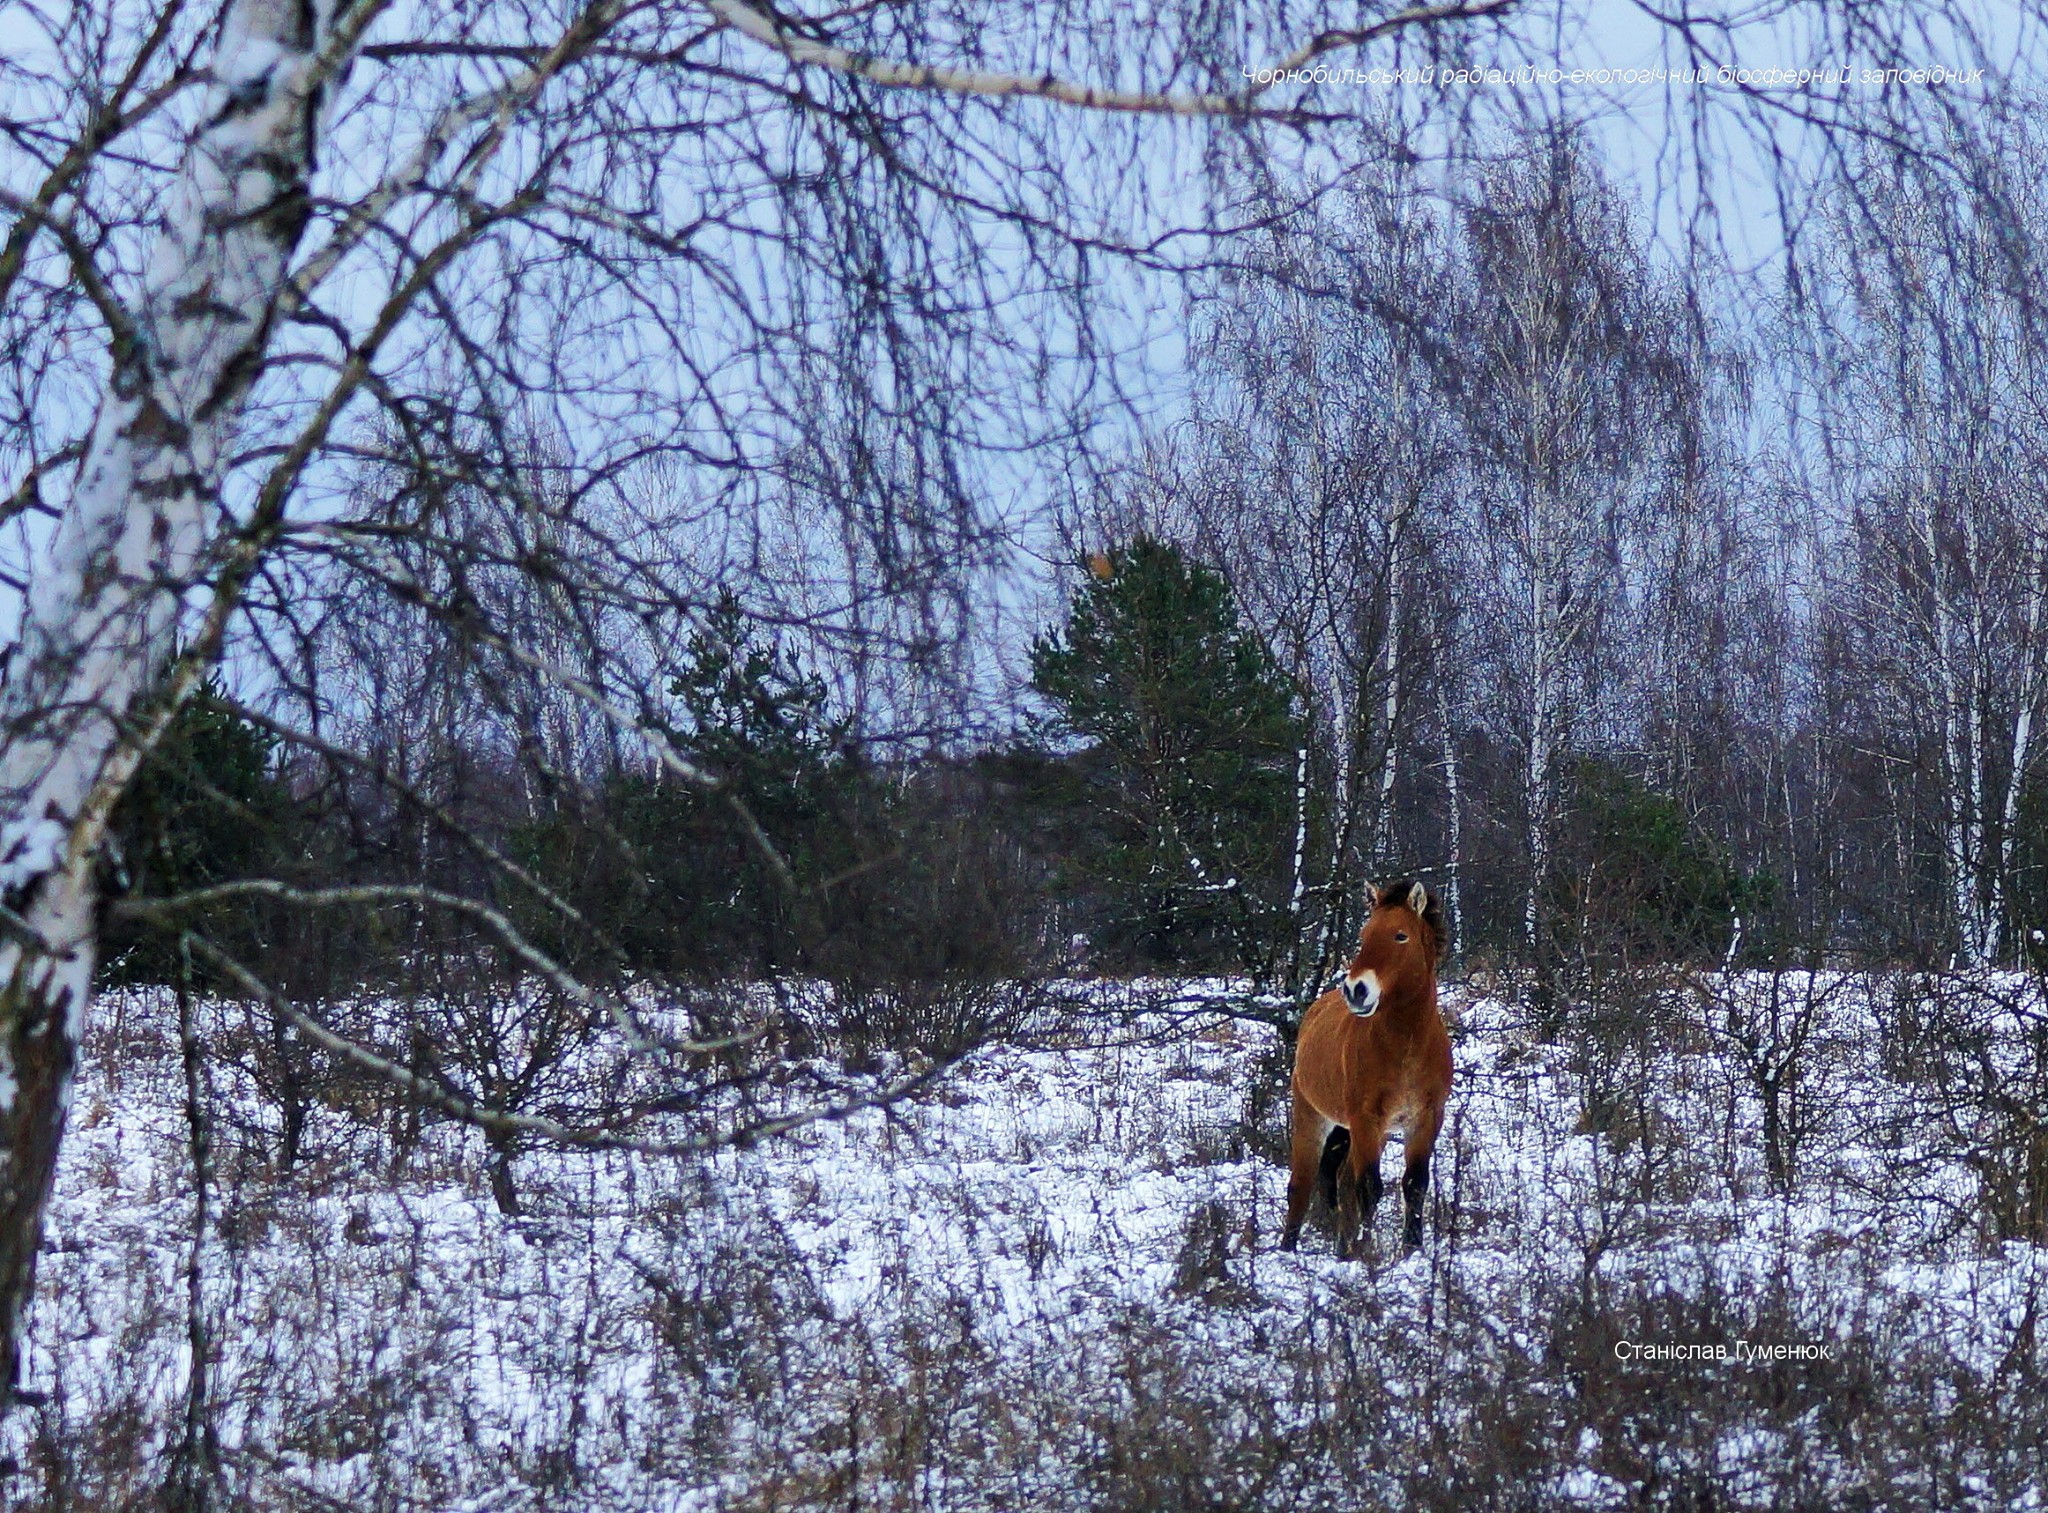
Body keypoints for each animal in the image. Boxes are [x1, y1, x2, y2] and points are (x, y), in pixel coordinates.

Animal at [1286, 880, 1449, 1261]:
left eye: (1400, 936)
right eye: (1364, 934)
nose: (1355, 989)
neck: (1408, 1047)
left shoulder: (1426, 1119)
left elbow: (1415, 1184)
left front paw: (1411, 1251)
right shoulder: (1366, 1118)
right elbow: (1369, 1188)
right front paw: (1367, 1253)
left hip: (1356, 1131)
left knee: (1341, 1182)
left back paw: (1341, 1248)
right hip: (1313, 1118)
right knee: (1301, 1184)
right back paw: (1287, 1249)